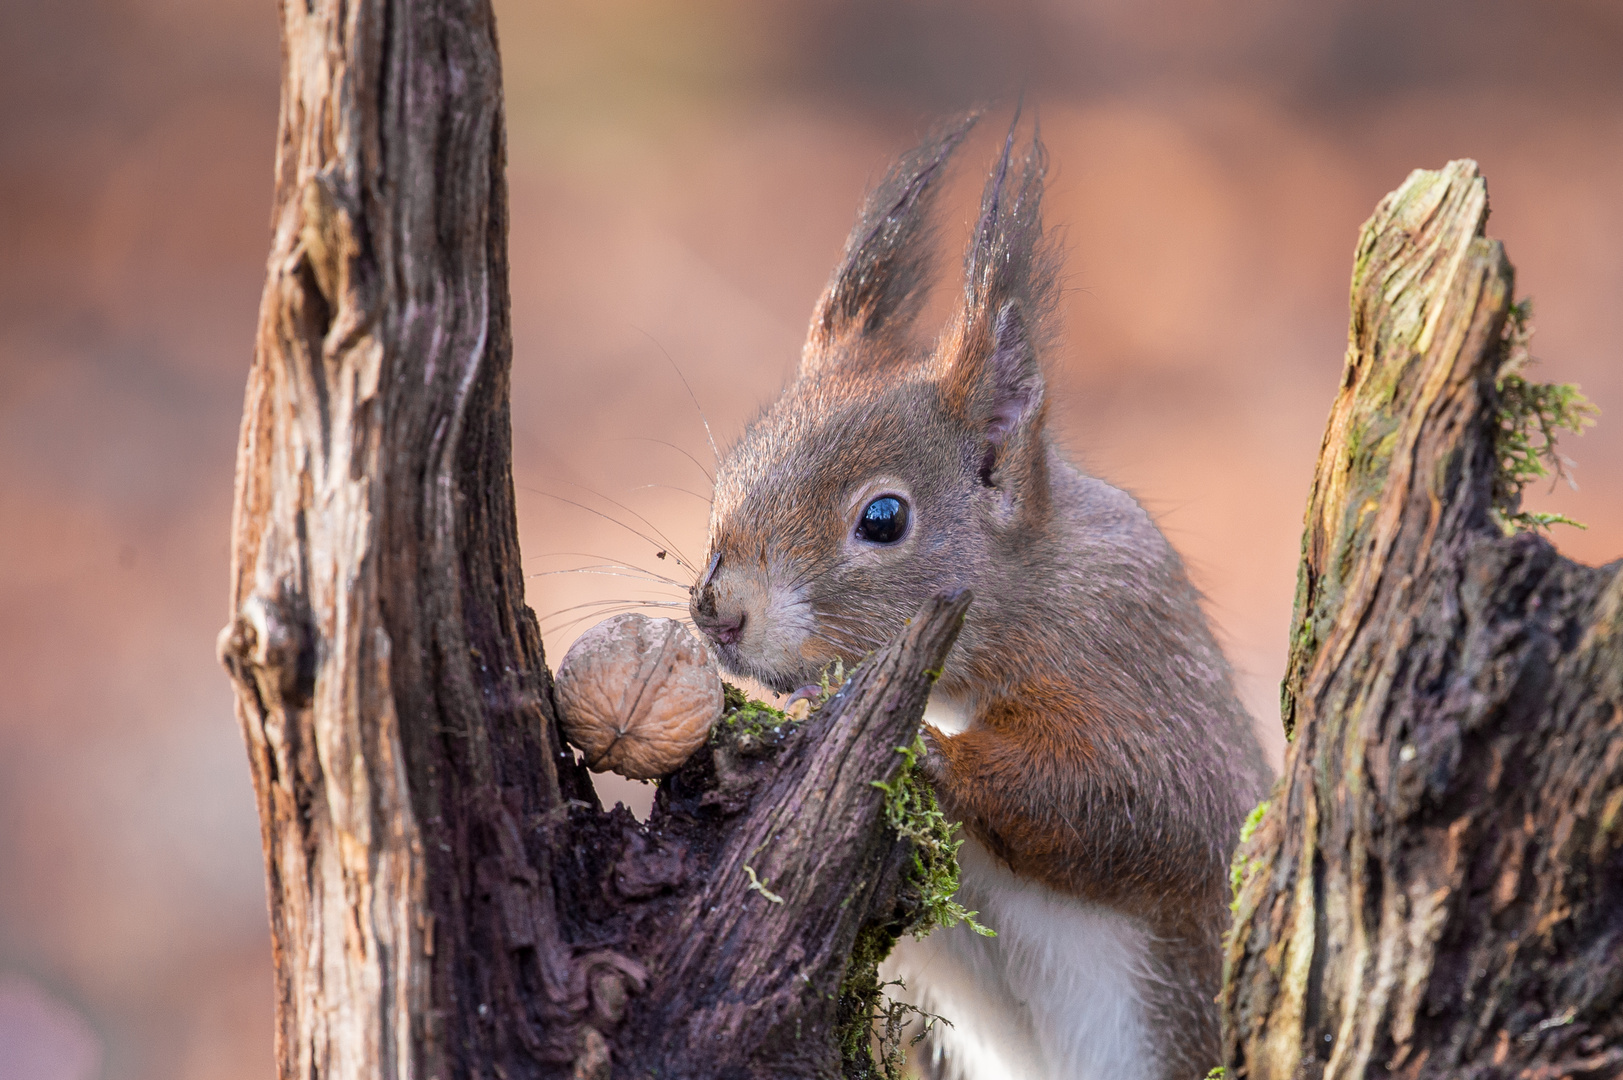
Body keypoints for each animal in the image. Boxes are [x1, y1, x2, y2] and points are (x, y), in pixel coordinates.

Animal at [684, 116, 1265, 1078]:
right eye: (734, 466)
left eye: (883, 518)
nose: (720, 616)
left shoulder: (1132, 654)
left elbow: (1134, 800)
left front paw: (926, 751)